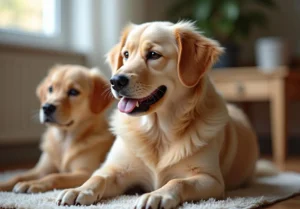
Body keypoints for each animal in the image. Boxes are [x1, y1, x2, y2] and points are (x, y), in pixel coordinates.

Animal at [0, 64, 115, 193]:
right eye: (50, 89)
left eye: (73, 92)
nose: (46, 107)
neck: (64, 139)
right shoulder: (41, 170)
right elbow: (18, 176)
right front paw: (4, 184)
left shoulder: (85, 172)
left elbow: (56, 176)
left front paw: (32, 183)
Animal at [57, 22, 258, 208]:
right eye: (126, 54)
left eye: (154, 55)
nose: (115, 81)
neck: (158, 131)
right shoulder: (117, 169)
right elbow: (97, 177)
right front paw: (79, 190)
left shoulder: (211, 179)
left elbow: (178, 181)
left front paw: (158, 195)